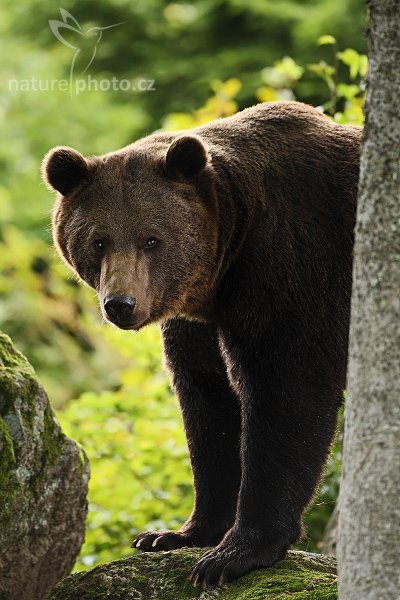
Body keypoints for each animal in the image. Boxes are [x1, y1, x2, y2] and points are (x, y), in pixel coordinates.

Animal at [42, 102, 360, 584]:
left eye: (151, 239)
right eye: (98, 241)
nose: (121, 304)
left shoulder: (294, 276)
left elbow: (285, 395)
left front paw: (233, 554)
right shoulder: (198, 322)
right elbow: (209, 402)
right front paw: (174, 534)